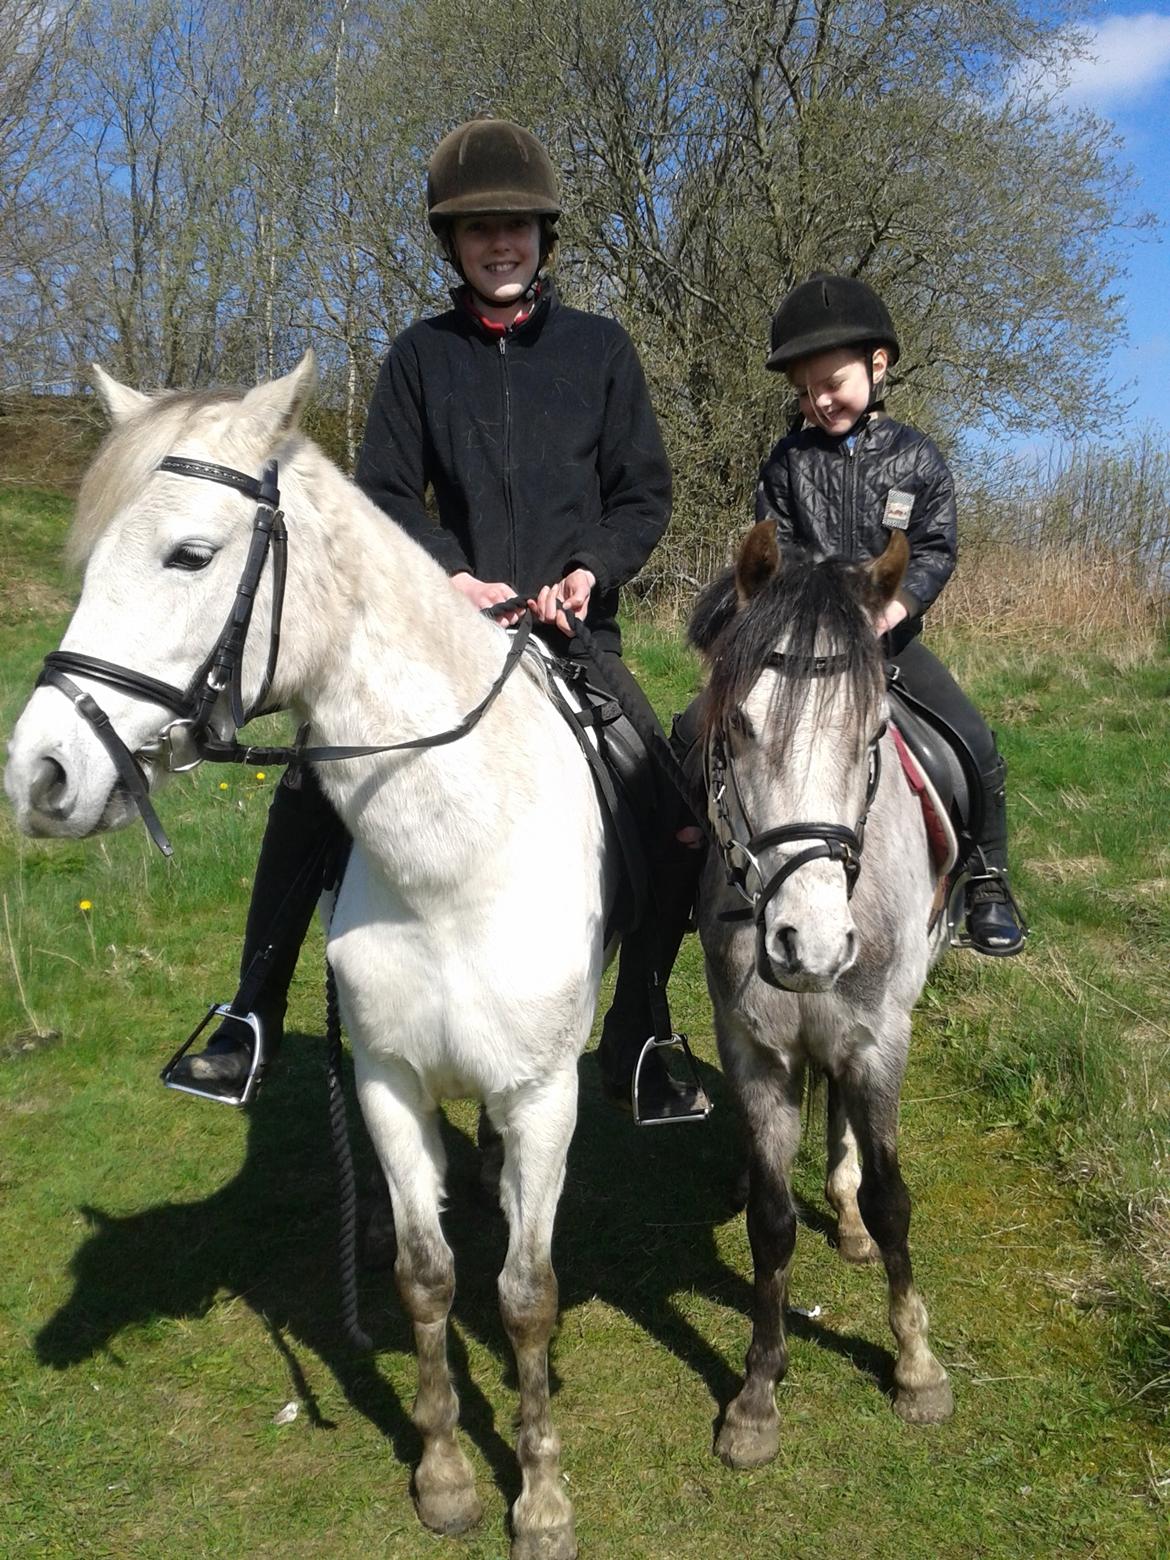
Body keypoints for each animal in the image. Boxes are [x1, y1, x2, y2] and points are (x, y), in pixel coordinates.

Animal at [4, 354, 613, 1560]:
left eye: (190, 555)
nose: (38, 774)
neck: (459, 858)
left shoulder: (543, 1093)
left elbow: (526, 1295)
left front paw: (541, 1495)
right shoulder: (385, 1080)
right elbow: (426, 1279)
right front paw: (444, 1475)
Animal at [688, 520, 954, 1469]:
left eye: (873, 731)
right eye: (737, 723)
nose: (810, 943)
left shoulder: (878, 1040)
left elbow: (893, 1200)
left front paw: (916, 1366)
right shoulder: (754, 1048)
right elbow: (772, 1223)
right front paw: (756, 1399)